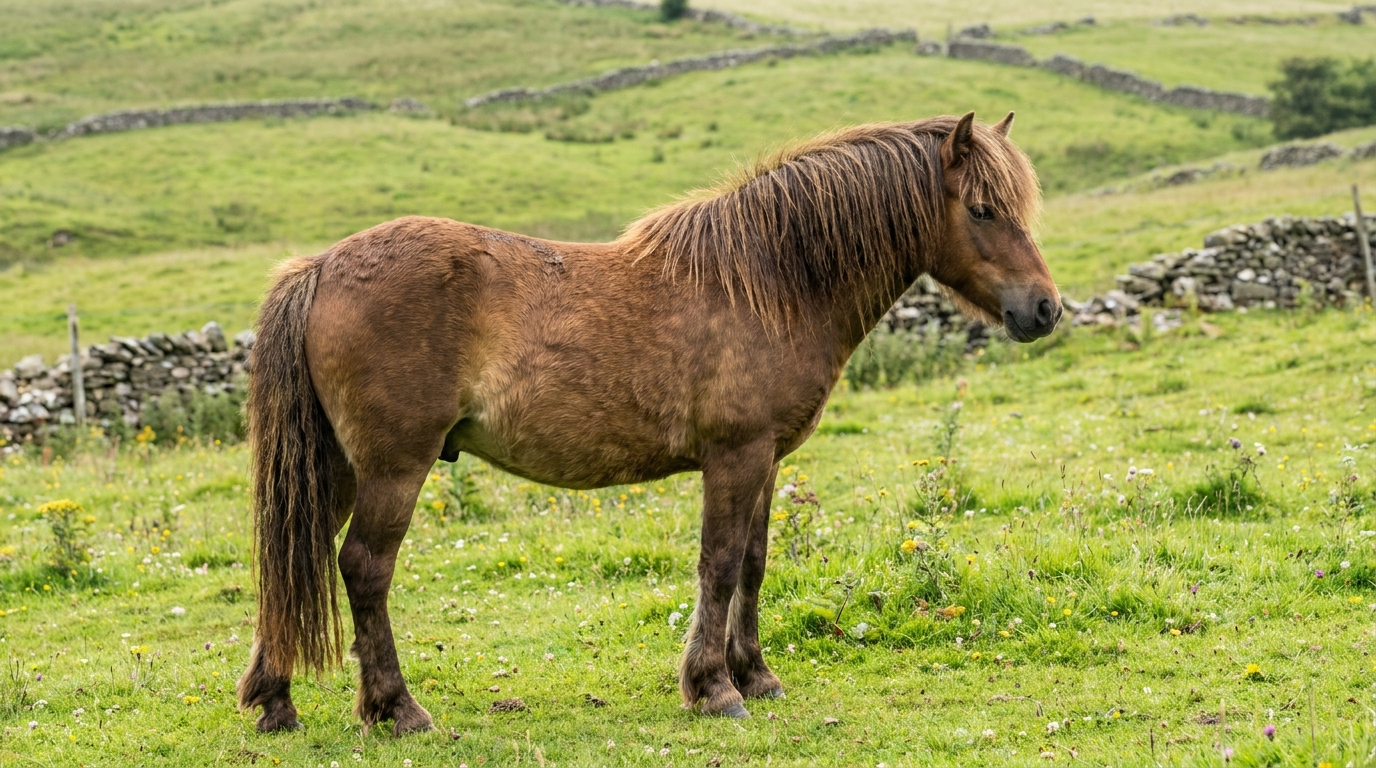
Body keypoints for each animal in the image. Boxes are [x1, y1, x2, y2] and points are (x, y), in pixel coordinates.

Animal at [236, 111, 1060, 734]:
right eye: (982, 209)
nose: (1045, 309)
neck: (770, 282)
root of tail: (318, 269)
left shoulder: (767, 460)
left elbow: (753, 564)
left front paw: (756, 676)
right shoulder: (735, 456)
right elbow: (718, 565)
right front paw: (714, 689)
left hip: (335, 467)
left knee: (296, 559)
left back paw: (277, 702)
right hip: (393, 467)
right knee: (363, 568)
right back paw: (397, 710)